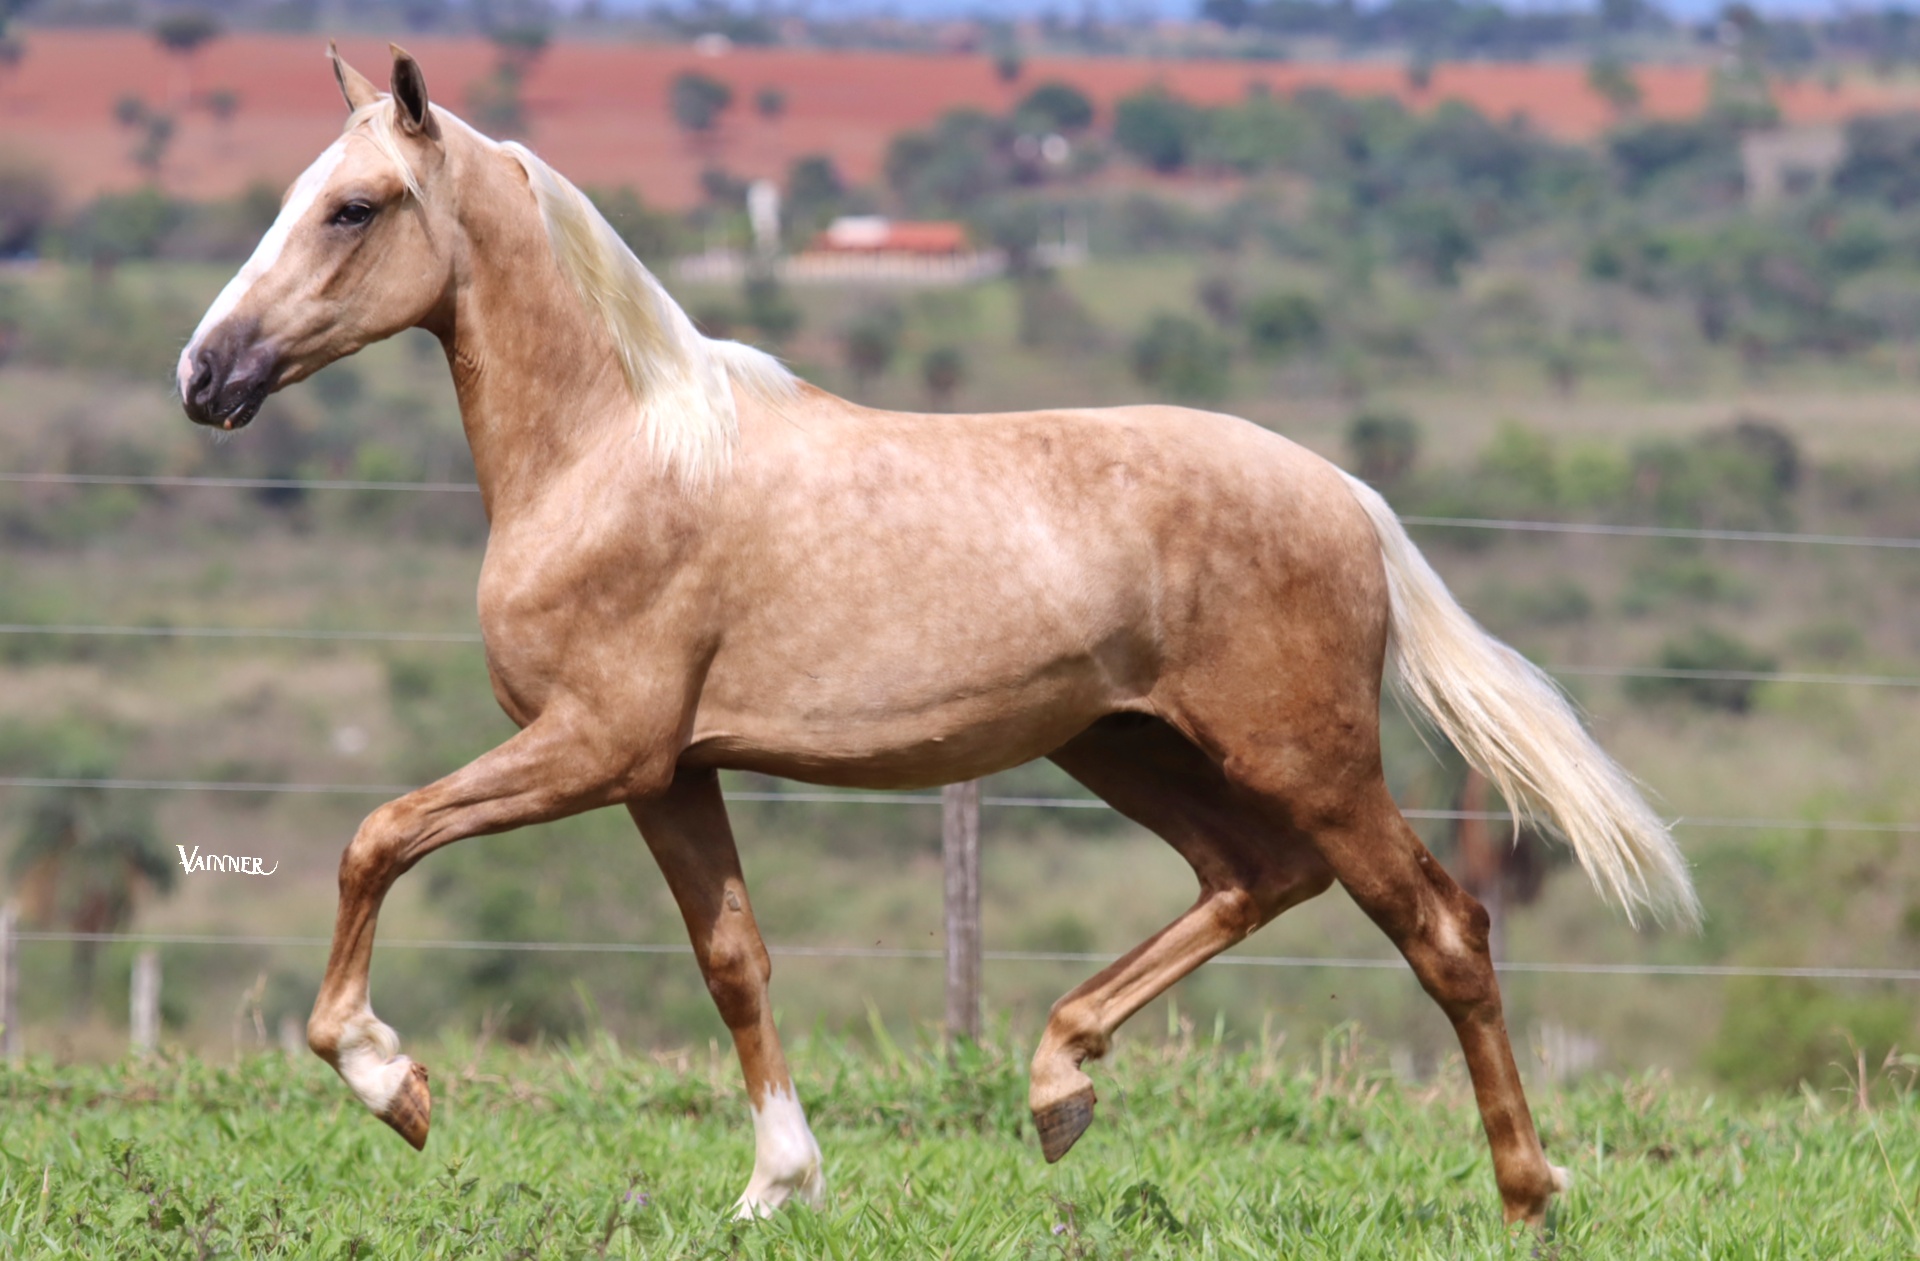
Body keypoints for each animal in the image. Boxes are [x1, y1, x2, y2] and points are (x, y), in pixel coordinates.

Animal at [177, 44, 1696, 1226]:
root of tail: (1349, 497)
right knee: (1254, 878)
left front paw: (393, 1084)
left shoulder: (593, 747)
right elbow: (733, 960)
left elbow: (376, 837)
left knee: (1443, 928)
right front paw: (777, 1184)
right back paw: (1059, 1084)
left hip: (1304, 756)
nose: (204, 373)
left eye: (353, 207)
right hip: (1128, 748)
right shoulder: (670, 771)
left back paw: (1528, 1192)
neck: (615, 453)